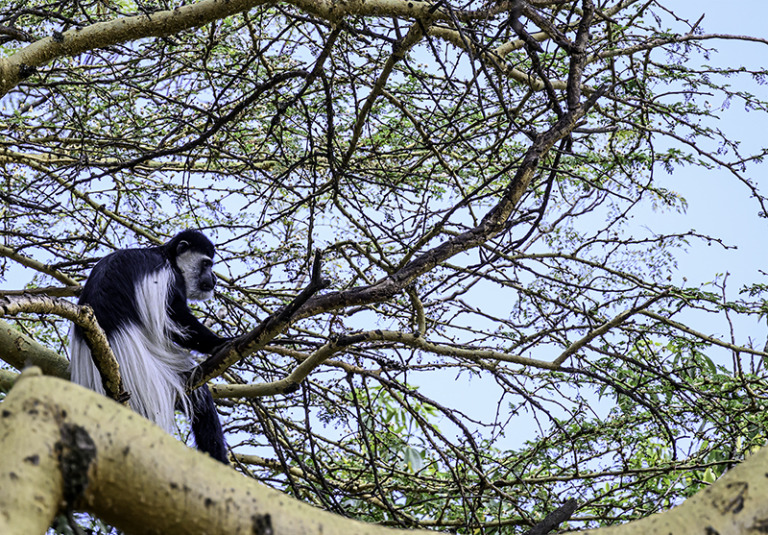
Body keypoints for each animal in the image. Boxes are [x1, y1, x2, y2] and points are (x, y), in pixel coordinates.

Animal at [69, 230, 230, 463]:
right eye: (207, 264)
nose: (214, 278)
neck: (167, 256)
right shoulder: (167, 277)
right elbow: (174, 319)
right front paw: (220, 343)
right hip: (155, 384)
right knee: (202, 401)